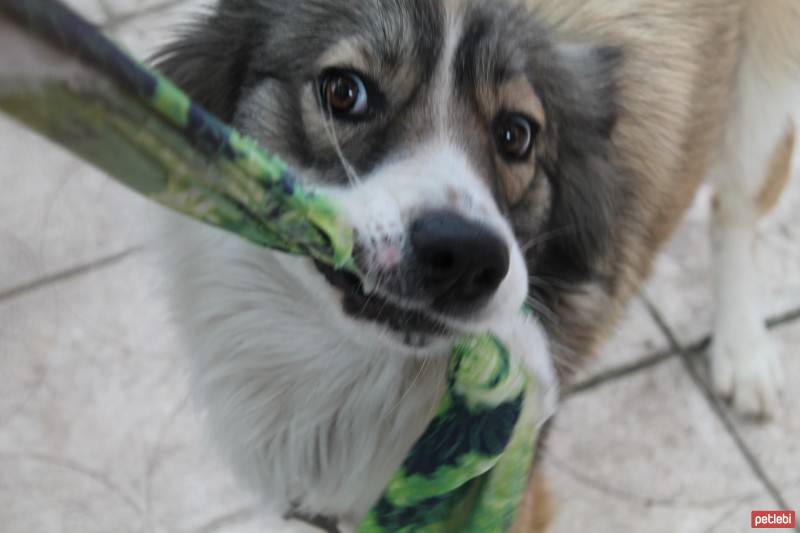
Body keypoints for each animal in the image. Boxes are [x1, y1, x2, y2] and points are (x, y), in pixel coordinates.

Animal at [153, 1, 796, 528]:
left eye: (516, 134)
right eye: (344, 92)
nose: (466, 258)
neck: (351, 361)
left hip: (764, 96)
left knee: (736, 208)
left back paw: (744, 352)